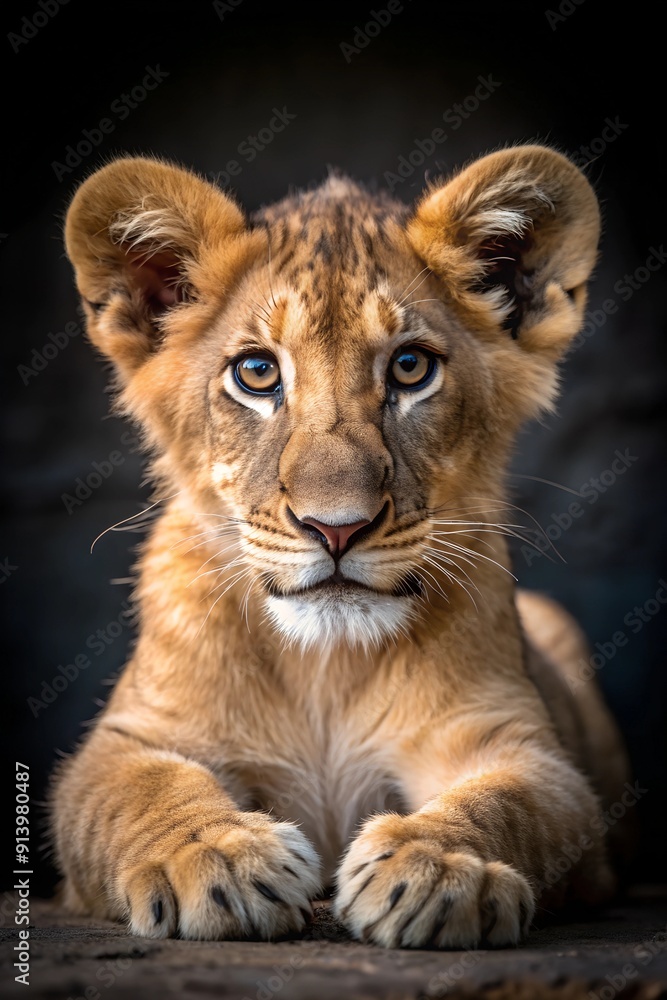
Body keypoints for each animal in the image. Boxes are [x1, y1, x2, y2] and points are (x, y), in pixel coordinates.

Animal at [51, 145, 633, 948]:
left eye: (411, 367)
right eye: (257, 373)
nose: (336, 528)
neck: (323, 667)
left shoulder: (516, 742)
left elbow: (508, 803)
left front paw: (436, 868)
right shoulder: (127, 739)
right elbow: (139, 789)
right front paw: (219, 859)